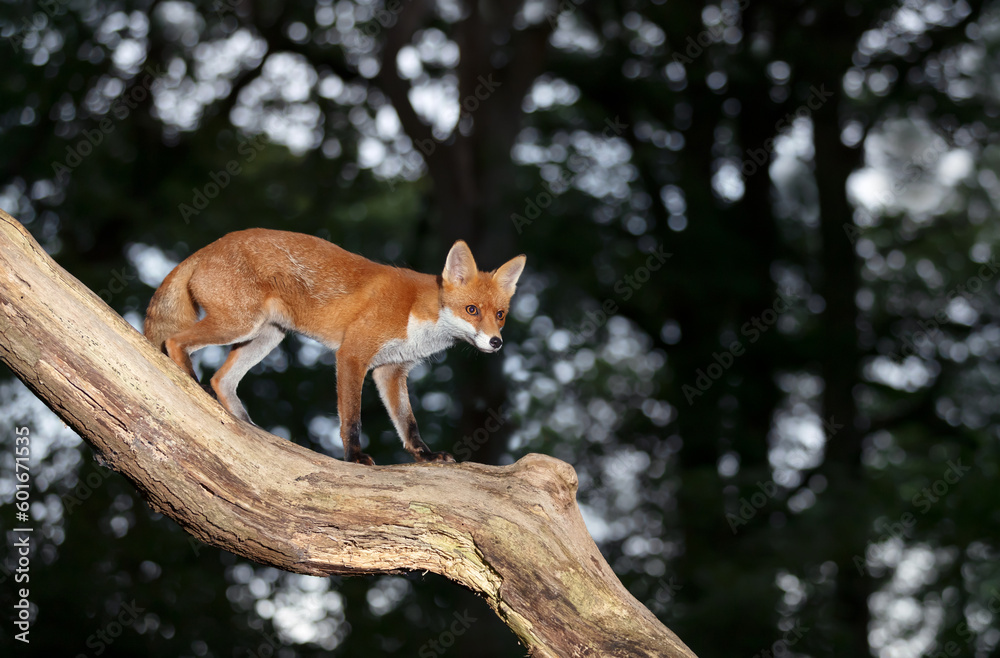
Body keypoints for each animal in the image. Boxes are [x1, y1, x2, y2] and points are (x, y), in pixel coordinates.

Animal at [144, 229, 525, 465]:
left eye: (500, 315)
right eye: (472, 310)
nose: (496, 342)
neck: (418, 314)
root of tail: (206, 248)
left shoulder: (391, 370)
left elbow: (408, 424)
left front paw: (426, 456)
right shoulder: (353, 354)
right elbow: (351, 419)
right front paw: (354, 457)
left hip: (267, 336)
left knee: (222, 379)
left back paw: (249, 427)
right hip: (238, 324)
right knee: (175, 342)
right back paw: (190, 384)